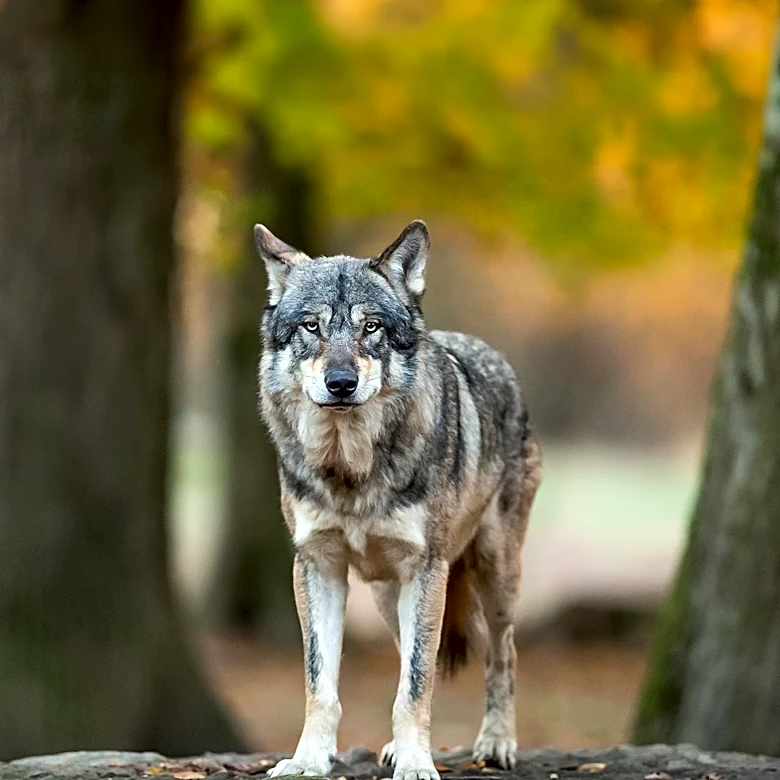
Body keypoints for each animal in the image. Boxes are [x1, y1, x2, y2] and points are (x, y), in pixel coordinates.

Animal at [256, 220, 541, 780]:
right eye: (311, 327)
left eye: (370, 327)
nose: (340, 383)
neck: (351, 470)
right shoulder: (317, 567)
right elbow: (321, 683)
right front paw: (308, 759)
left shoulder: (425, 569)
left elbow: (416, 683)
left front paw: (415, 762)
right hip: (389, 595)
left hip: (494, 575)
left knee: (504, 654)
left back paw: (496, 743)